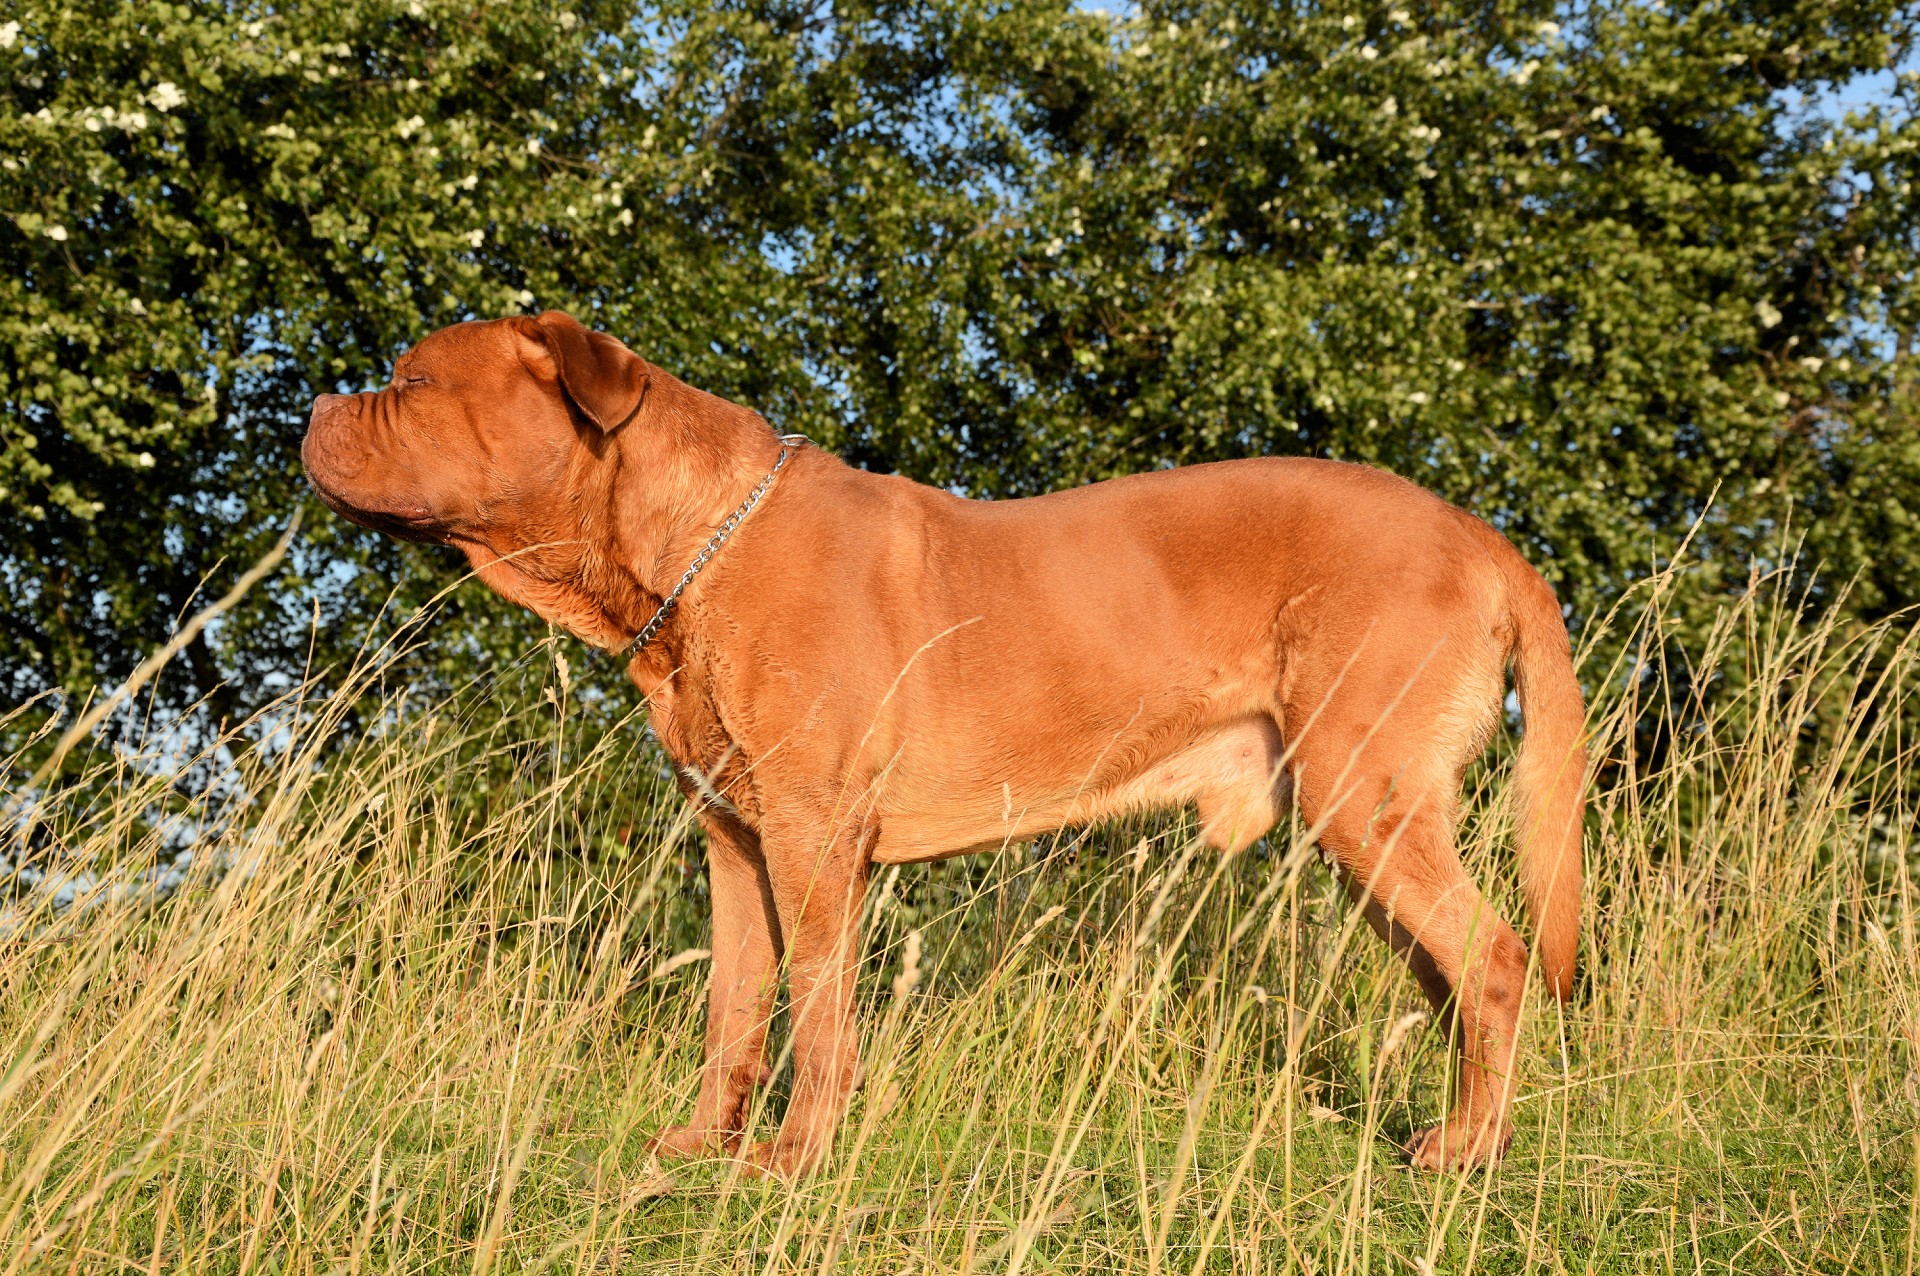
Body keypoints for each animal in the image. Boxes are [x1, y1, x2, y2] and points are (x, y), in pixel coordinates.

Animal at [303, 310, 1589, 1174]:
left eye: (411, 380)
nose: (314, 407)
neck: (680, 553)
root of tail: (1479, 532)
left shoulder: (814, 837)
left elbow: (818, 1011)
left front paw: (794, 1159)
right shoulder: (733, 840)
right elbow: (733, 1007)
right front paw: (707, 1141)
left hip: (1363, 789)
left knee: (1494, 956)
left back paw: (1470, 1151)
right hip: (1366, 817)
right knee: (1453, 978)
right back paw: (1458, 1126)